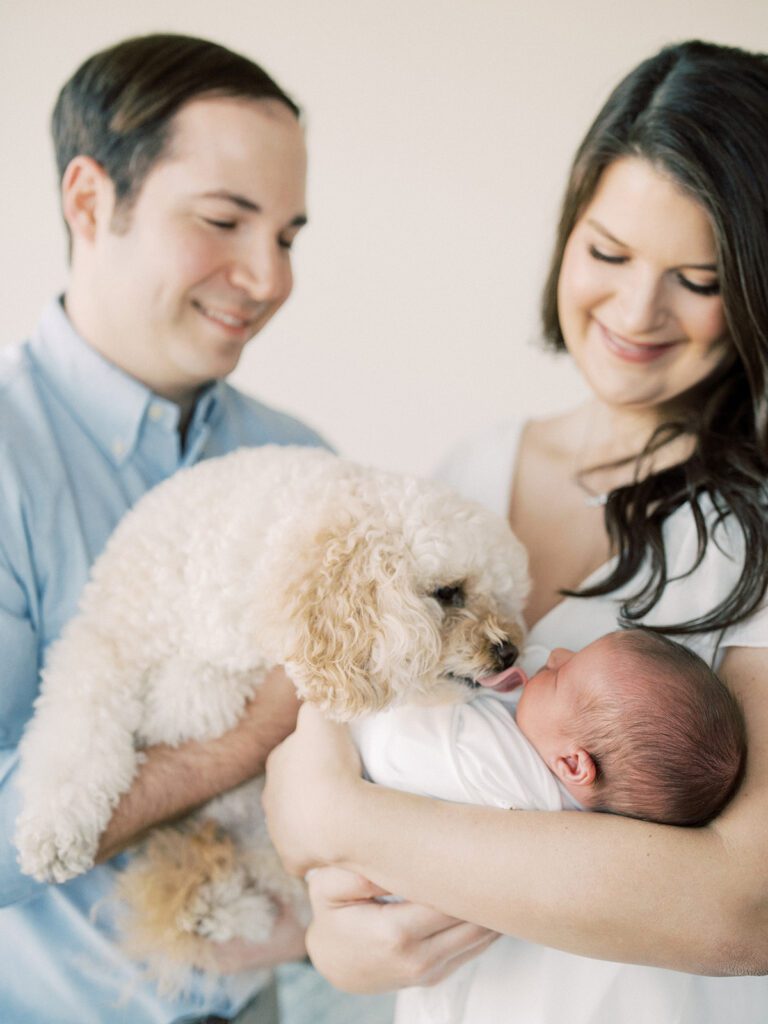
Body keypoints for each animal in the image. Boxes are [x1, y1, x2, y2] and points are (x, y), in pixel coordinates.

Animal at [15, 444, 528, 978]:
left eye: (505, 597)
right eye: (449, 592)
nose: (510, 652)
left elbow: (195, 697)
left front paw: (179, 697)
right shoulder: (102, 643)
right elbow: (73, 738)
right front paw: (52, 836)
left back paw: (222, 911)